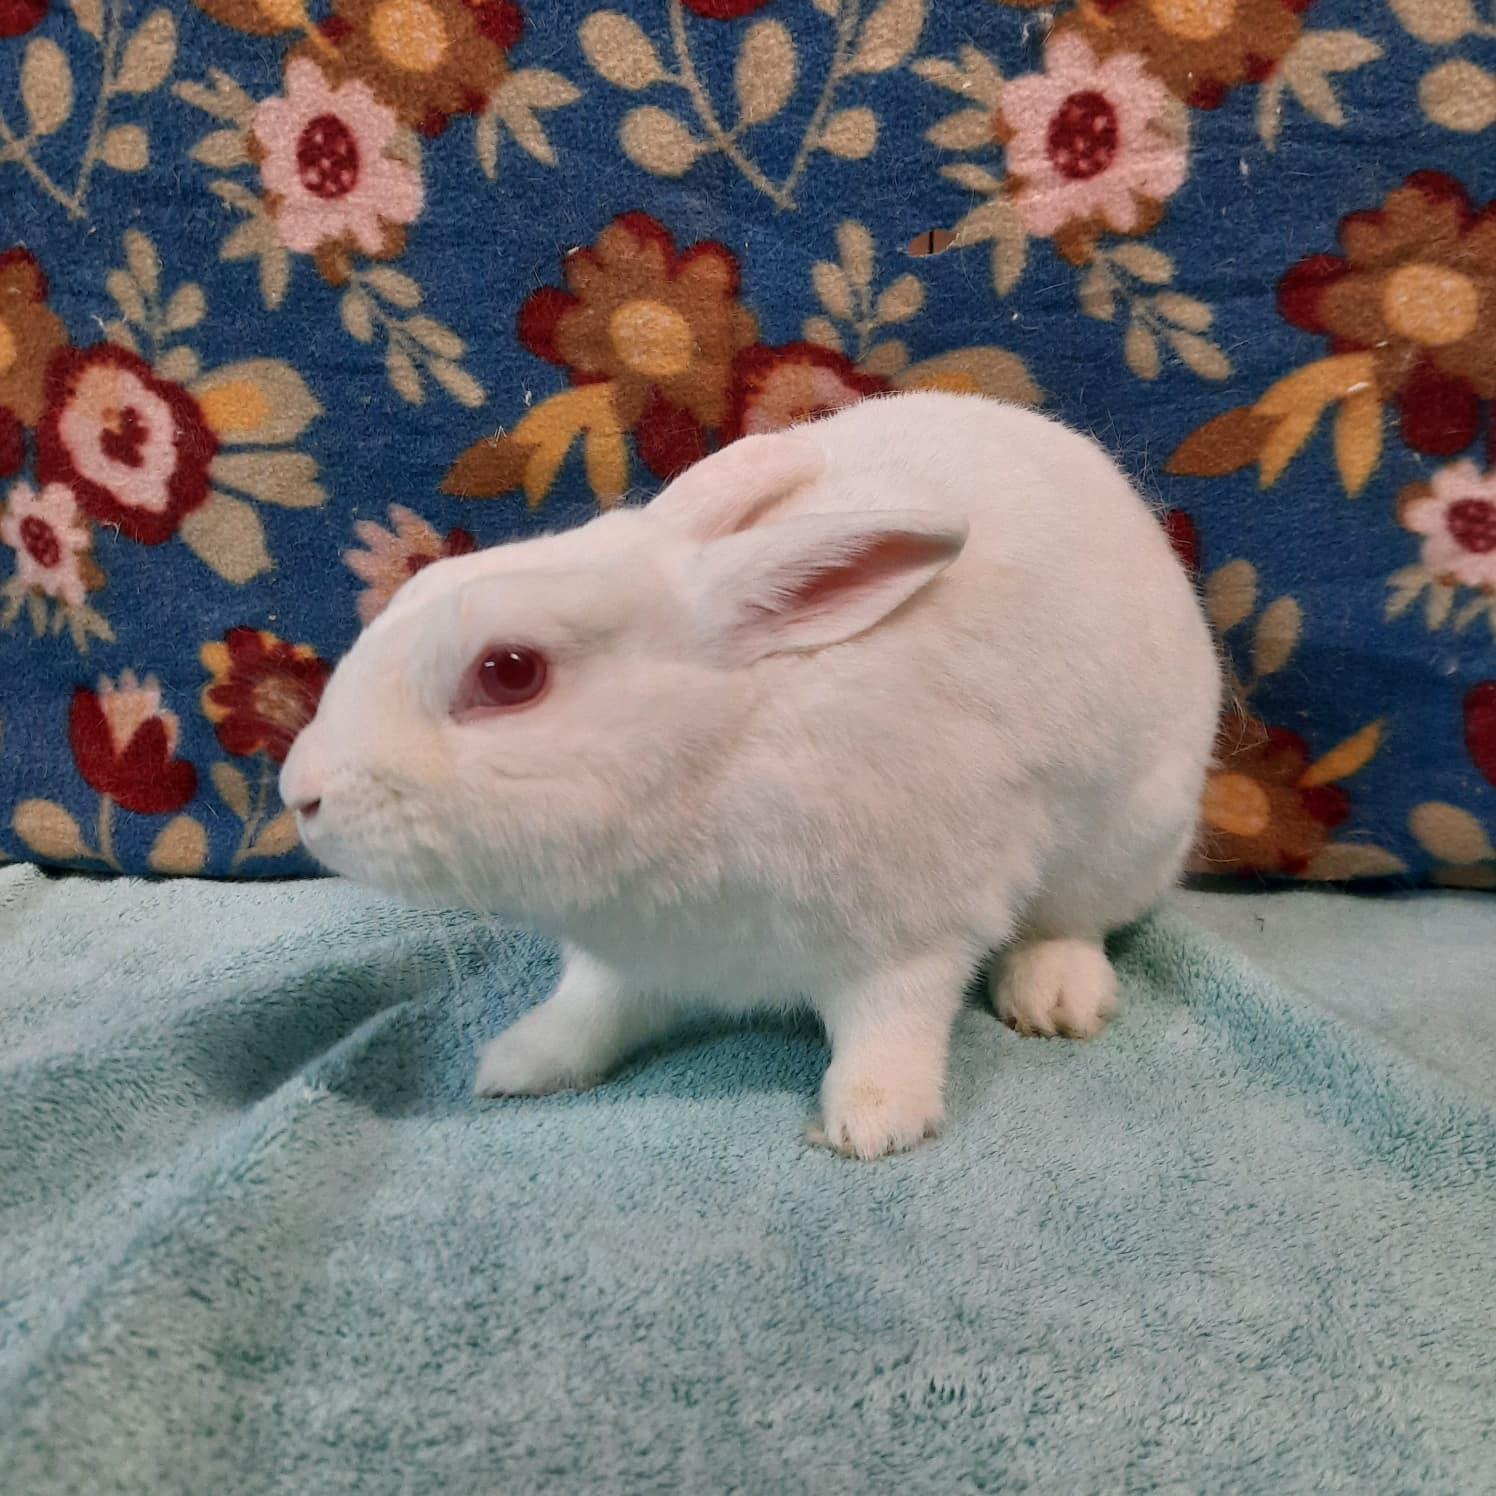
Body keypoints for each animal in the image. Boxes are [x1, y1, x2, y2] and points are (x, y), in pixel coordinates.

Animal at [281, 390, 1220, 1158]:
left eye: (510, 673)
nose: (300, 793)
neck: (710, 755)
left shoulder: (912, 933)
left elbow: (895, 1023)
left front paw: (874, 1123)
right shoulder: (627, 963)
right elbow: (589, 1012)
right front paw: (518, 1062)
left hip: (1126, 832)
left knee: (1076, 921)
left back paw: (1054, 997)